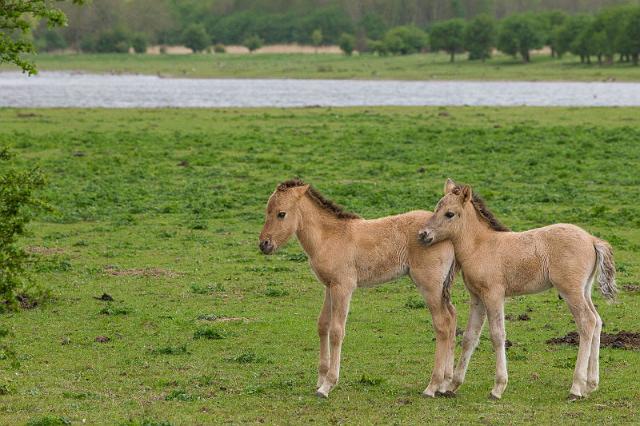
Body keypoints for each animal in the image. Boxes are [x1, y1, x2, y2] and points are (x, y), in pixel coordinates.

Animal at [258, 178, 458, 398]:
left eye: (281, 213)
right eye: (267, 211)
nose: (264, 244)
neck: (329, 236)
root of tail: (448, 236)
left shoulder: (343, 287)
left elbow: (336, 331)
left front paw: (328, 385)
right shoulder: (329, 287)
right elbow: (323, 325)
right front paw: (320, 380)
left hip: (429, 285)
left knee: (442, 324)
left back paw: (432, 386)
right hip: (442, 288)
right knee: (452, 317)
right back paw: (445, 383)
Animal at [418, 179, 616, 400]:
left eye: (450, 214)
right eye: (436, 208)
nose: (423, 235)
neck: (479, 246)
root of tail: (592, 239)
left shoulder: (494, 295)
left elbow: (497, 335)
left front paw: (498, 387)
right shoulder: (477, 297)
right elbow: (470, 337)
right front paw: (453, 385)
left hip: (570, 291)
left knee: (587, 322)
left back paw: (576, 387)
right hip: (585, 290)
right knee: (597, 321)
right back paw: (591, 385)